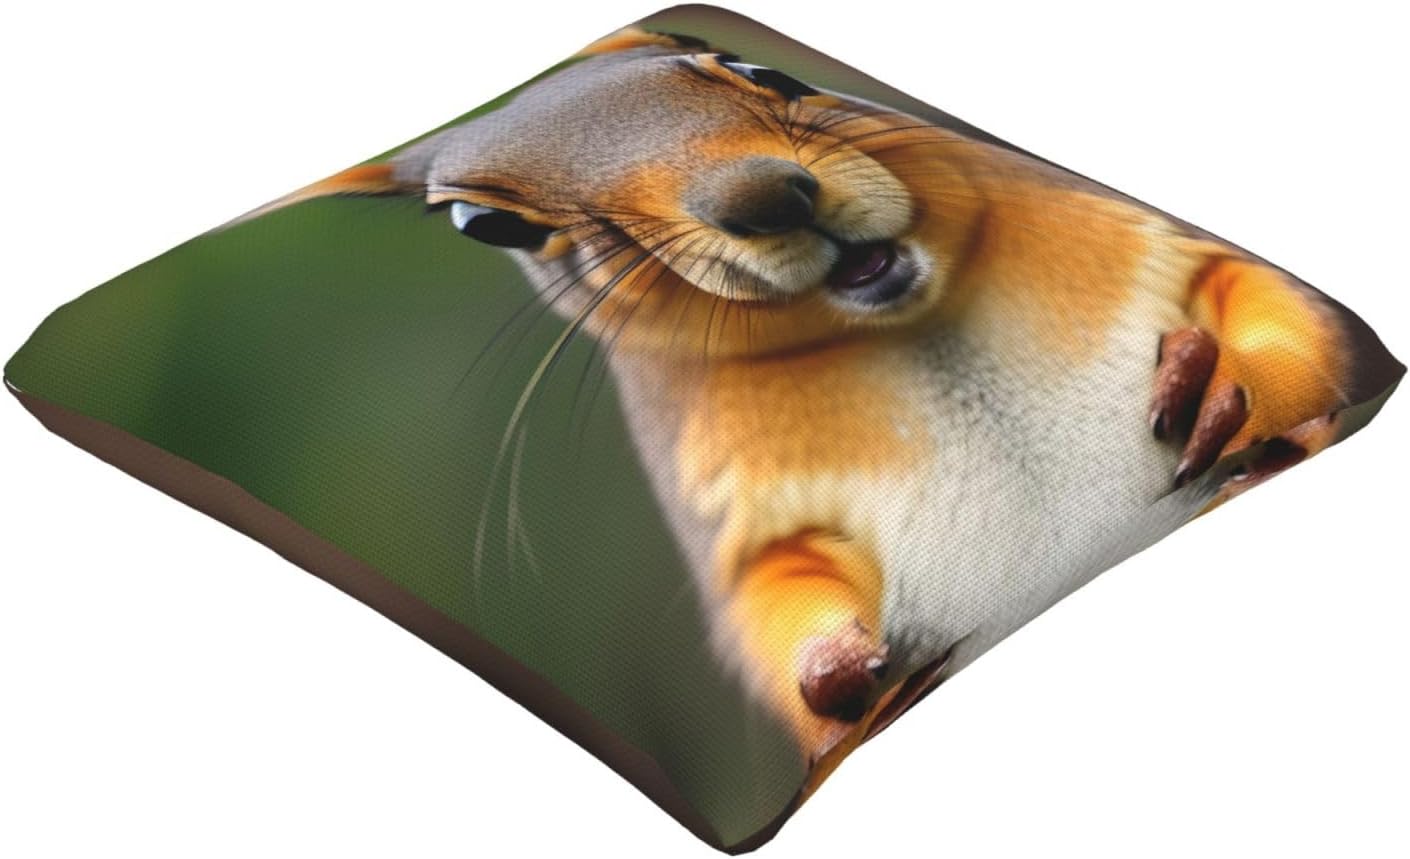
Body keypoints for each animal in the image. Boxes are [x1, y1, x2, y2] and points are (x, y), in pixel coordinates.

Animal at [240, 27, 1401, 796]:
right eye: (487, 226)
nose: (764, 197)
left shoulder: (1151, 247)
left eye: (753, 67)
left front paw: (1224, 385)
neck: (911, 324)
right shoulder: (735, 500)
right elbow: (776, 585)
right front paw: (842, 665)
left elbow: (1264, 303)